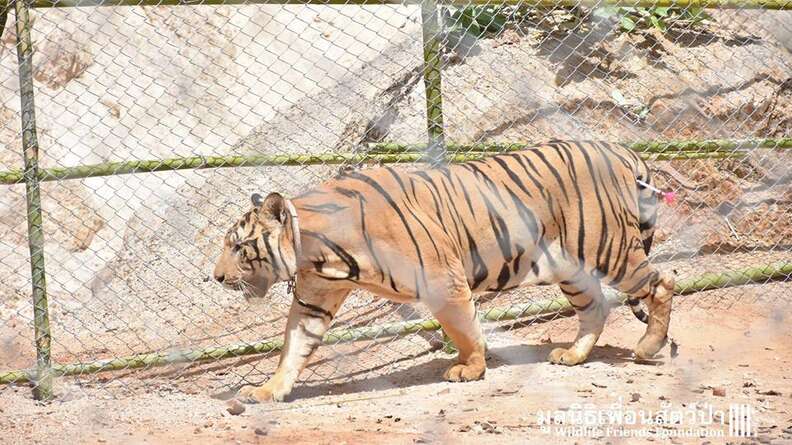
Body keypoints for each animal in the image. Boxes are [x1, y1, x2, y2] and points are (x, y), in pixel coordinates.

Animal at [213, 140, 672, 400]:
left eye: (237, 246)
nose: (215, 277)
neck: (317, 254)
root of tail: (621, 151)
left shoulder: (443, 281)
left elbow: (464, 329)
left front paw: (470, 368)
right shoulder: (314, 300)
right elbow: (293, 347)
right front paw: (267, 390)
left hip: (609, 248)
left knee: (660, 282)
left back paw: (649, 347)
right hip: (569, 266)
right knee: (595, 307)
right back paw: (573, 356)